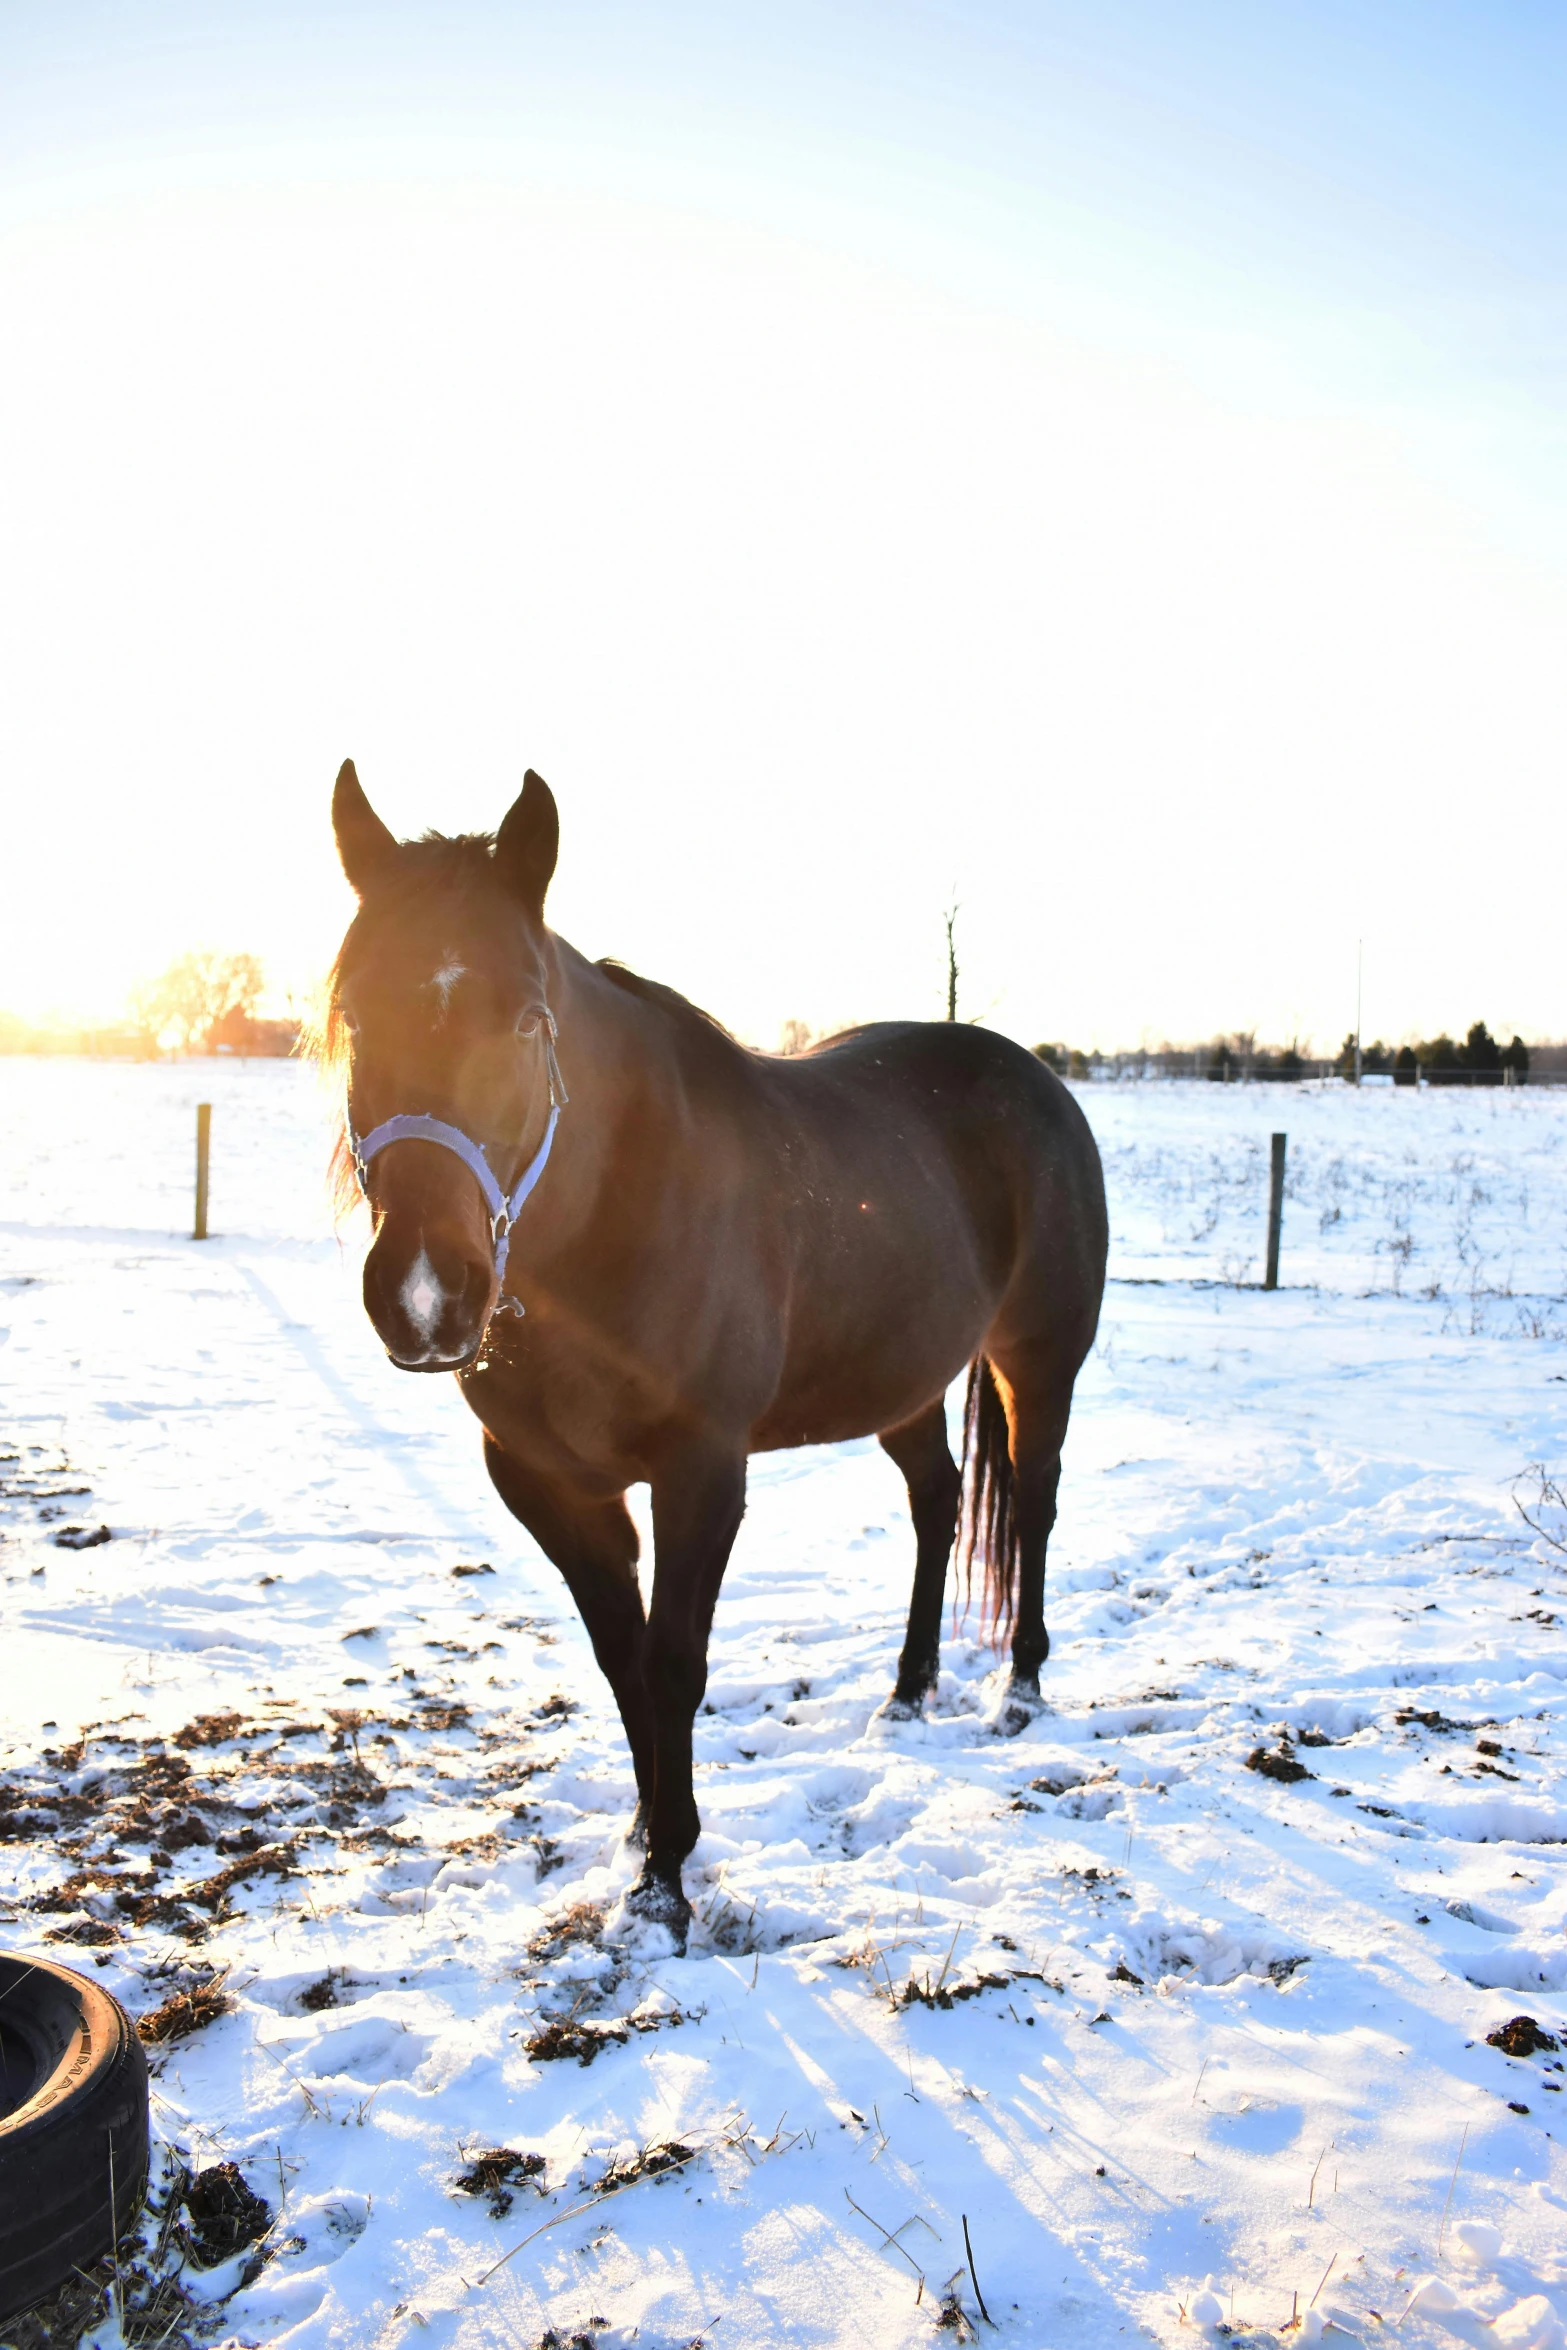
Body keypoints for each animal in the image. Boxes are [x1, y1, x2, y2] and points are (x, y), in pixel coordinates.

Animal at [321, 766, 1104, 1945]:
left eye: (528, 1018)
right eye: (356, 1014)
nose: (424, 1293)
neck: (614, 1218)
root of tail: (1038, 1082)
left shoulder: (701, 1471)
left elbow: (673, 1659)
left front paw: (666, 1879)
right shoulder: (548, 1481)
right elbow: (623, 1661)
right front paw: (645, 1841)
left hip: (1038, 1359)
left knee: (1034, 1501)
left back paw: (1017, 1692)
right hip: (900, 1379)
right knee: (937, 1498)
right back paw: (907, 1690)